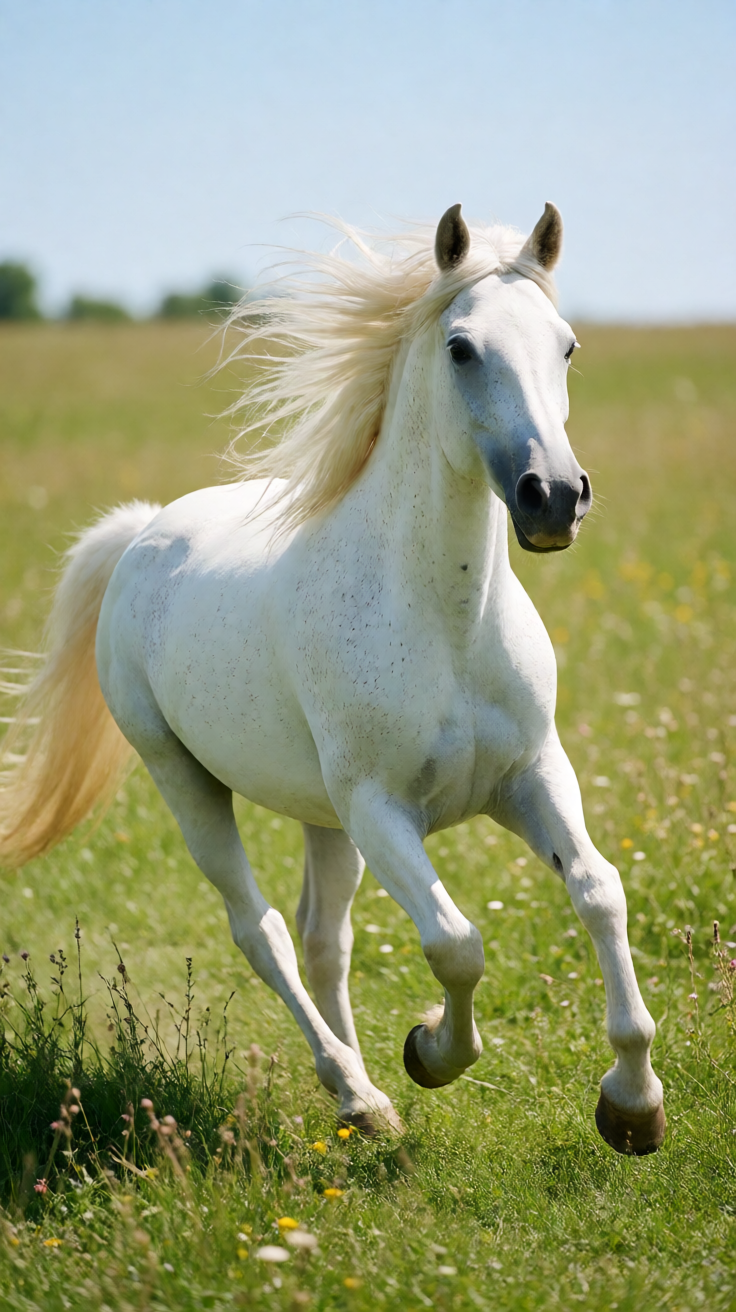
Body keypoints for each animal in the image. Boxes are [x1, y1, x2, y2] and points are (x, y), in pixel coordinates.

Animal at [0, 202, 665, 1154]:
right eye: (461, 348)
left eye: (567, 346)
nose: (554, 498)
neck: (445, 624)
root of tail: (141, 534)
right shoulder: (381, 808)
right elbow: (456, 942)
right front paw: (431, 1051)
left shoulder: (535, 774)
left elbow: (599, 892)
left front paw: (633, 1105)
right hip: (190, 783)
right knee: (264, 932)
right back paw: (358, 1092)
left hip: (323, 817)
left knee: (325, 939)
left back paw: (361, 1102)